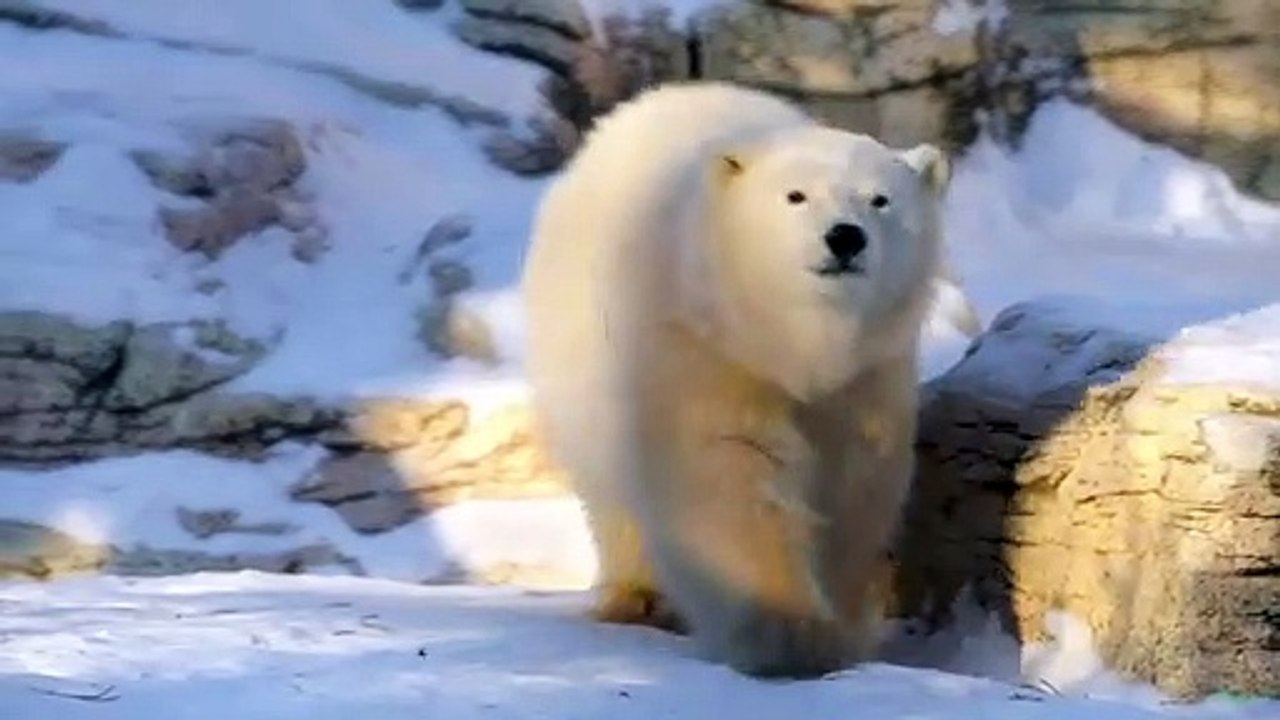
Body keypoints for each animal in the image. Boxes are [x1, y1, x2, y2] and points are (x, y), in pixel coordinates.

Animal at [520, 81, 970, 679]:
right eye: (796, 196)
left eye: (880, 199)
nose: (845, 238)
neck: (787, 342)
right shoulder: (705, 351)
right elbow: (732, 478)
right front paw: (790, 637)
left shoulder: (867, 376)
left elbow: (853, 488)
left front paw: (844, 629)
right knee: (611, 491)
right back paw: (639, 598)